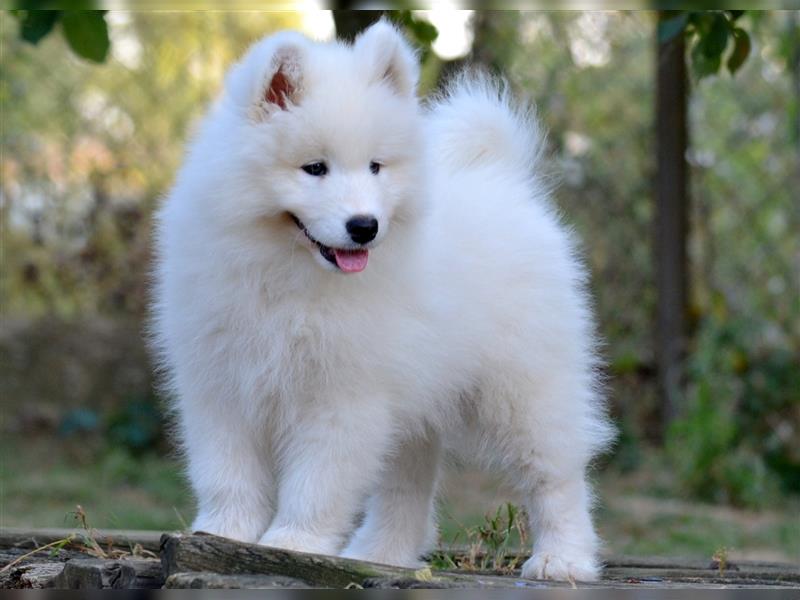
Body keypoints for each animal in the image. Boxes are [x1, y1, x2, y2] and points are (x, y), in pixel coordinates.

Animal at [150, 19, 612, 580]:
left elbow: (317, 481)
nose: (364, 226)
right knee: (406, 485)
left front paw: (293, 543)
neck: (287, 274)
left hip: (526, 389)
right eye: (315, 168)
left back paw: (561, 559)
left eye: (375, 167)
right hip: (415, 402)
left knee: (556, 475)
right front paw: (222, 533)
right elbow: (226, 471)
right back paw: (380, 555)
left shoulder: (342, 396)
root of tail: (503, 180)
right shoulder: (219, 385)